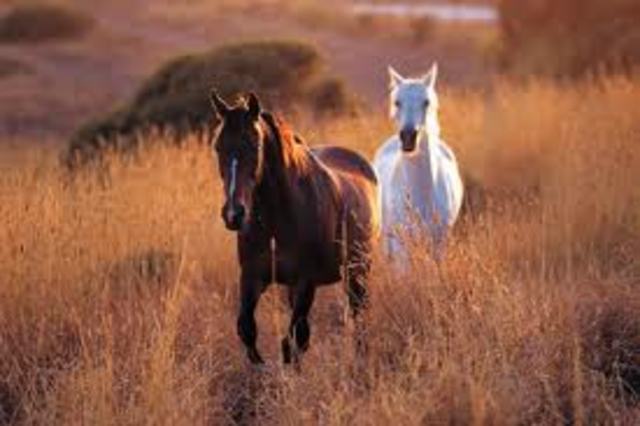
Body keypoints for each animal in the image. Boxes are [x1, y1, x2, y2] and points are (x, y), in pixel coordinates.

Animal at [210, 91, 380, 365]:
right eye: (218, 147)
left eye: (255, 145)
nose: (233, 214)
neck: (277, 219)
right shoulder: (252, 277)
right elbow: (247, 330)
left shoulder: (305, 282)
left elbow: (292, 341)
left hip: (357, 270)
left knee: (358, 315)